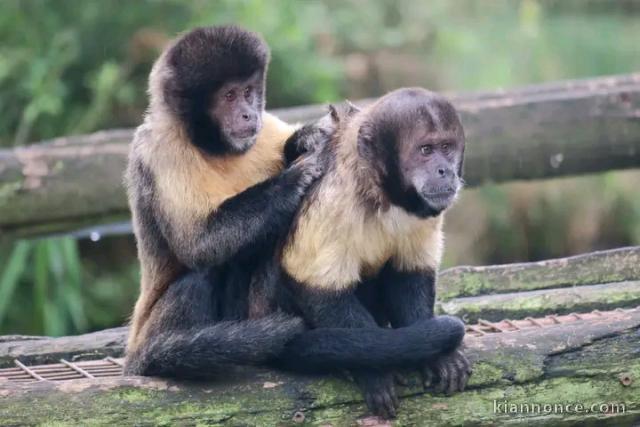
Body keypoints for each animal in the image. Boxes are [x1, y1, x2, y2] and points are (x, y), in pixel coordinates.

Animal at [274, 88, 472, 417]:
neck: (379, 191)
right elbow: (318, 288)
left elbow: (410, 273)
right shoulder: (333, 195)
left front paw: (438, 356)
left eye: (446, 147)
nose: (444, 170)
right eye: (426, 150)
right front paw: (373, 369)